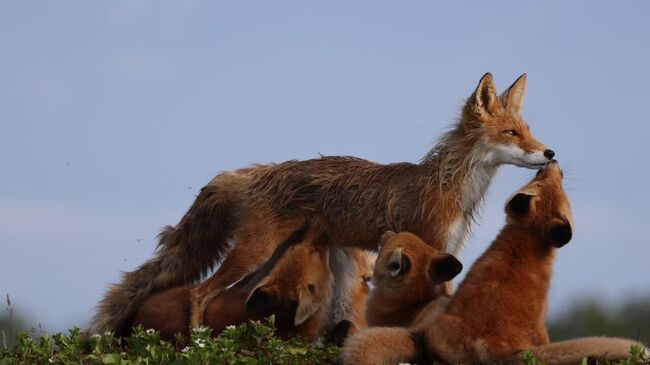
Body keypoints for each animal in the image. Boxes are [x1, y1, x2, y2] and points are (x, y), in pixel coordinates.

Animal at [91, 72, 556, 332]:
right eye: (512, 134)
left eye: (529, 131)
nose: (550, 153)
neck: (452, 186)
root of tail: (251, 172)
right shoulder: (431, 248)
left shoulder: (450, 252)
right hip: (251, 254)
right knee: (199, 292)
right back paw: (196, 342)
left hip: (265, 260)